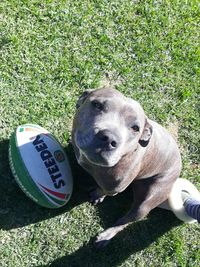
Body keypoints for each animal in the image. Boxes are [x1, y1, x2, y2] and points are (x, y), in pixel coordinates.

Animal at [71, 88, 181, 249]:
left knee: (125, 221)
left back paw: (106, 236)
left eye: (135, 128)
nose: (109, 139)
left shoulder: (115, 188)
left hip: (146, 202)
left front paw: (98, 194)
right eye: (97, 104)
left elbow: (104, 190)